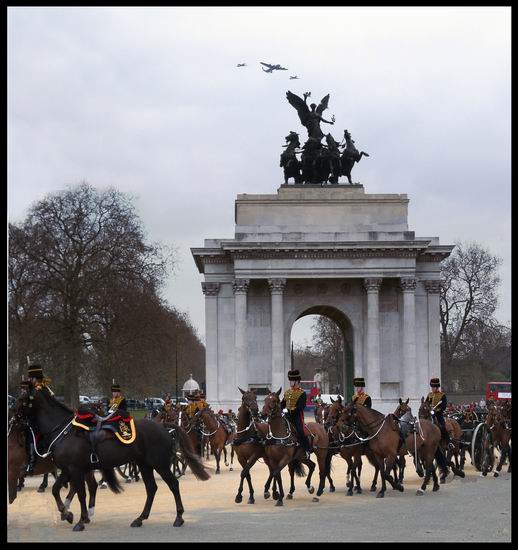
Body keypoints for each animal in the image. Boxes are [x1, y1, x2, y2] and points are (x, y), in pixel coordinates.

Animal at [16, 386, 211, 532]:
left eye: (23, 399)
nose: (14, 419)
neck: (64, 431)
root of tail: (163, 427)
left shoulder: (75, 470)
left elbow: (80, 493)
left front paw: (80, 520)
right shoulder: (67, 470)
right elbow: (56, 489)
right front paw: (67, 513)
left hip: (160, 464)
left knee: (173, 485)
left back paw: (178, 517)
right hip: (144, 465)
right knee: (151, 488)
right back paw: (140, 518)